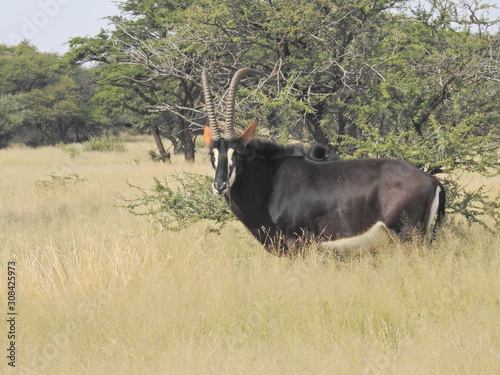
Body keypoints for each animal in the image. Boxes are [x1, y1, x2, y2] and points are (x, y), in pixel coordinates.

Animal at [201, 67, 444, 256]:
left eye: (237, 153)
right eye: (211, 153)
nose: (220, 185)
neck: (270, 181)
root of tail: (433, 181)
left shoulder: (298, 244)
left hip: (409, 237)